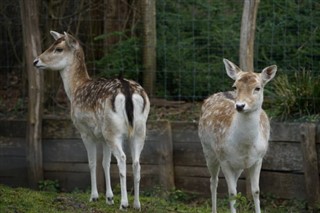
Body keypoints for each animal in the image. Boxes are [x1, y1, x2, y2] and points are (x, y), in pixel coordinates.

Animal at [32, 30, 150, 211]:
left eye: (58, 48)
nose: (36, 61)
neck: (75, 89)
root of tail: (127, 91)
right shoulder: (102, 137)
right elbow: (105, 163)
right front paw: (109, 198)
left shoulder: (85, 131)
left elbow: (92, 162)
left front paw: (94, 196)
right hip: (138, 130)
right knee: (136, 162)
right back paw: (137, 204)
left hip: (113, 130)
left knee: (122, 159)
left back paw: (124, 203)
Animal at [199, 58, 276, 213]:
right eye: (235, 86)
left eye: (257, 88)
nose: (240, 106)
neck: (245, 146)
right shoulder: (224, 159)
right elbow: (232, 193)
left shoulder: (258, 158)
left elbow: (256, 191)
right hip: (208, 151)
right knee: (213, 181)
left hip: (238, 165)